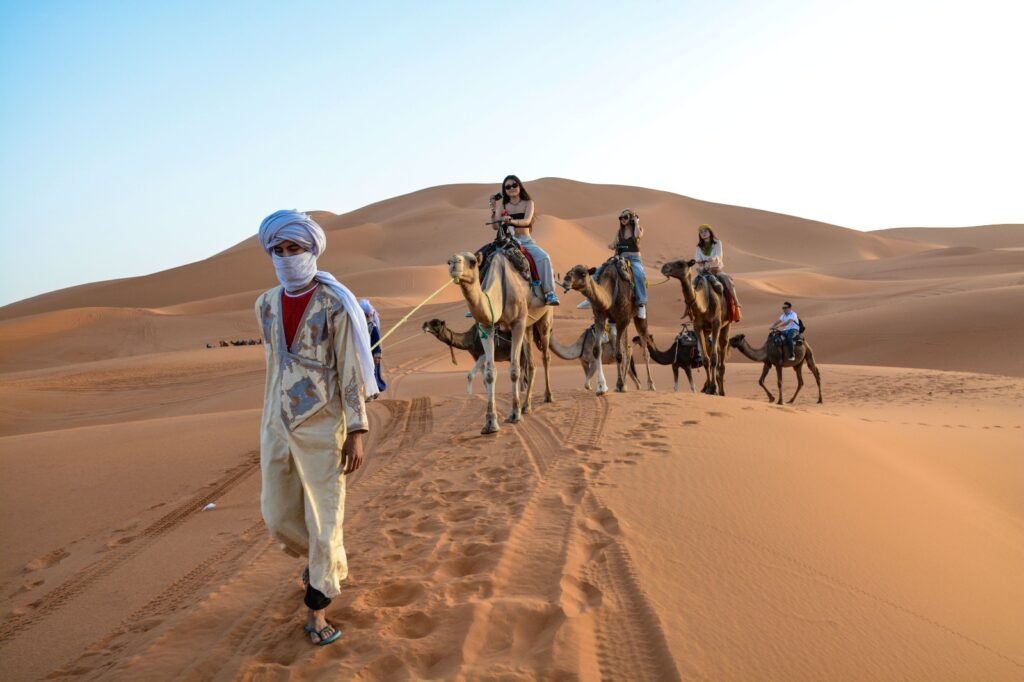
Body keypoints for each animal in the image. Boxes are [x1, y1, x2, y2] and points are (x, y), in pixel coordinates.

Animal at [448, 248, 552, 430]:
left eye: (473, 261)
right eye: (448, 261)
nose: (454, 262)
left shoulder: (517, 323)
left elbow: (514, 369)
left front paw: (515, 414)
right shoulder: (486, 327)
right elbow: (490, 373)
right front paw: (490, 423)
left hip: (544, 317)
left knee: (545, 356)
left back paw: (547, 396)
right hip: (528, 326)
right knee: (531, 363)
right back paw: (526, 406)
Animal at [561, 256, 655, 393]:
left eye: (583, 273)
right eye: (570, 270)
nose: (566, 279)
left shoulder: (622, 320)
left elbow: (618, 354)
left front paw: (619, 384)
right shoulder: (600, 317)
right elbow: (597, 350)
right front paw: (602, 387)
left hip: (640, 314)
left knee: (644, 348)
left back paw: (650, 384)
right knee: (626, 349)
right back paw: (626, 384)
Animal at [659, 258, 733, 395]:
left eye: (680, 264)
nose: (664, 268)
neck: (703, 304)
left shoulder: (716, 323)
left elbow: (714, 358)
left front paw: (714, 388)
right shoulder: (698, 326)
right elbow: (705, 359)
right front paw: (709, 388)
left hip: (726, 324)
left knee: (722, 352)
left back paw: (722, 392)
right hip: (707, 330)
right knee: (713, 351)